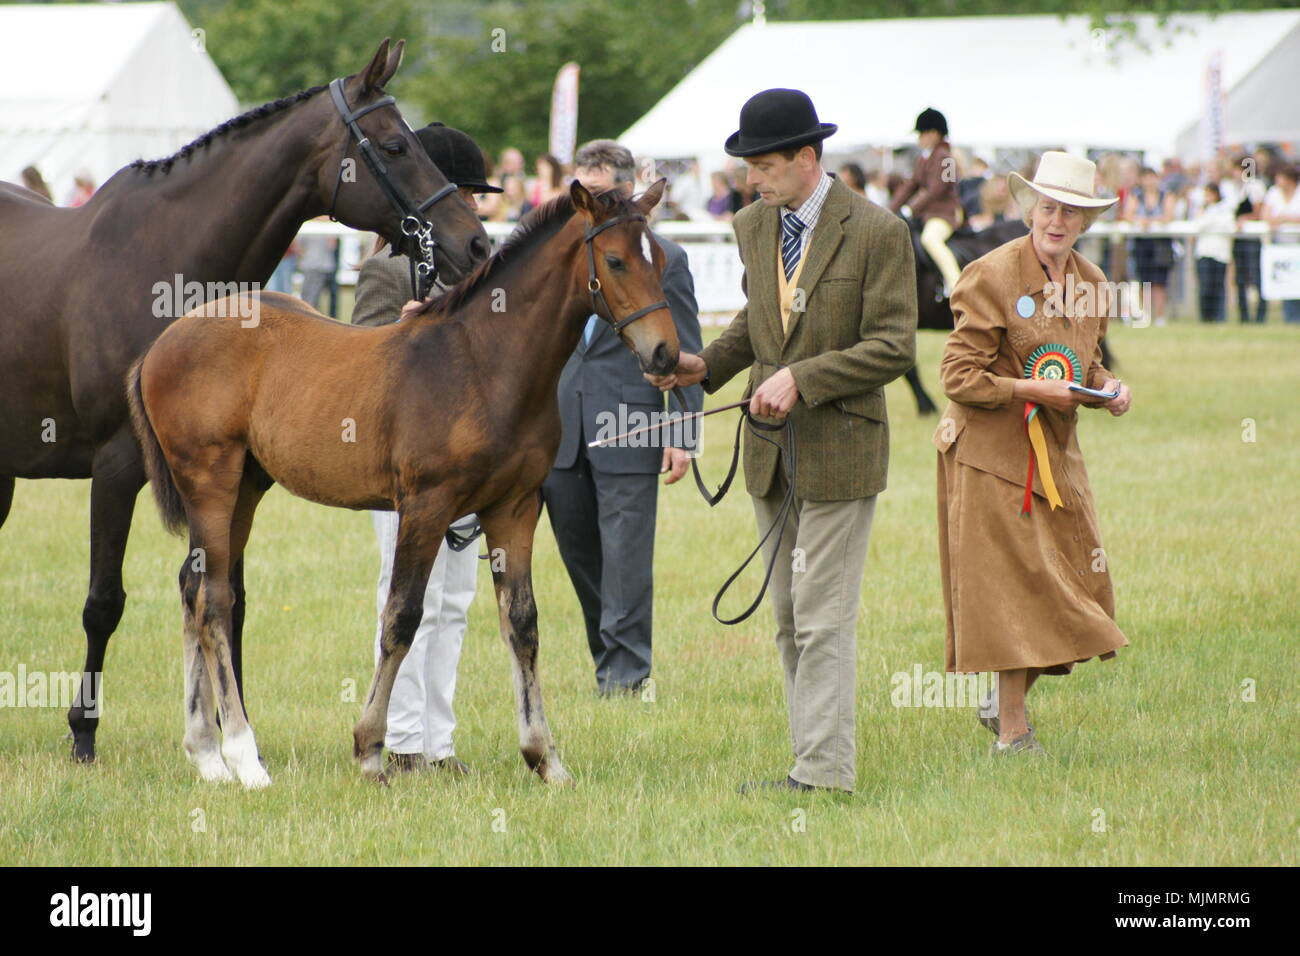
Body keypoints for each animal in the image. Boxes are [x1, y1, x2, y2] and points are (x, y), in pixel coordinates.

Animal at [0, 39, 488, 764]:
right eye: (395, 144)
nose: (477, 243)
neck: (164, 267)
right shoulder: (115, 468)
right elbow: (105, 601)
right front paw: (83, 731)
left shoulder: (240, 477)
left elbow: (225, 593)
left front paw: (233, 729)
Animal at [128, 183, 681, 790]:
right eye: (616, 260)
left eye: (660, 258)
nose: (665, 354)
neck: (483, 364)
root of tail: (162, 341)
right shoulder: (426, 506)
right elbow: (401, 618)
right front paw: (370, 749)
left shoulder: (513, 507)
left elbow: (522, 623)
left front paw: (545, 758)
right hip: (210, 482)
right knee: (213, 600)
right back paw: (243, 757)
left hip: (247, 488)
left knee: (192, 586)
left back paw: (205, 753)